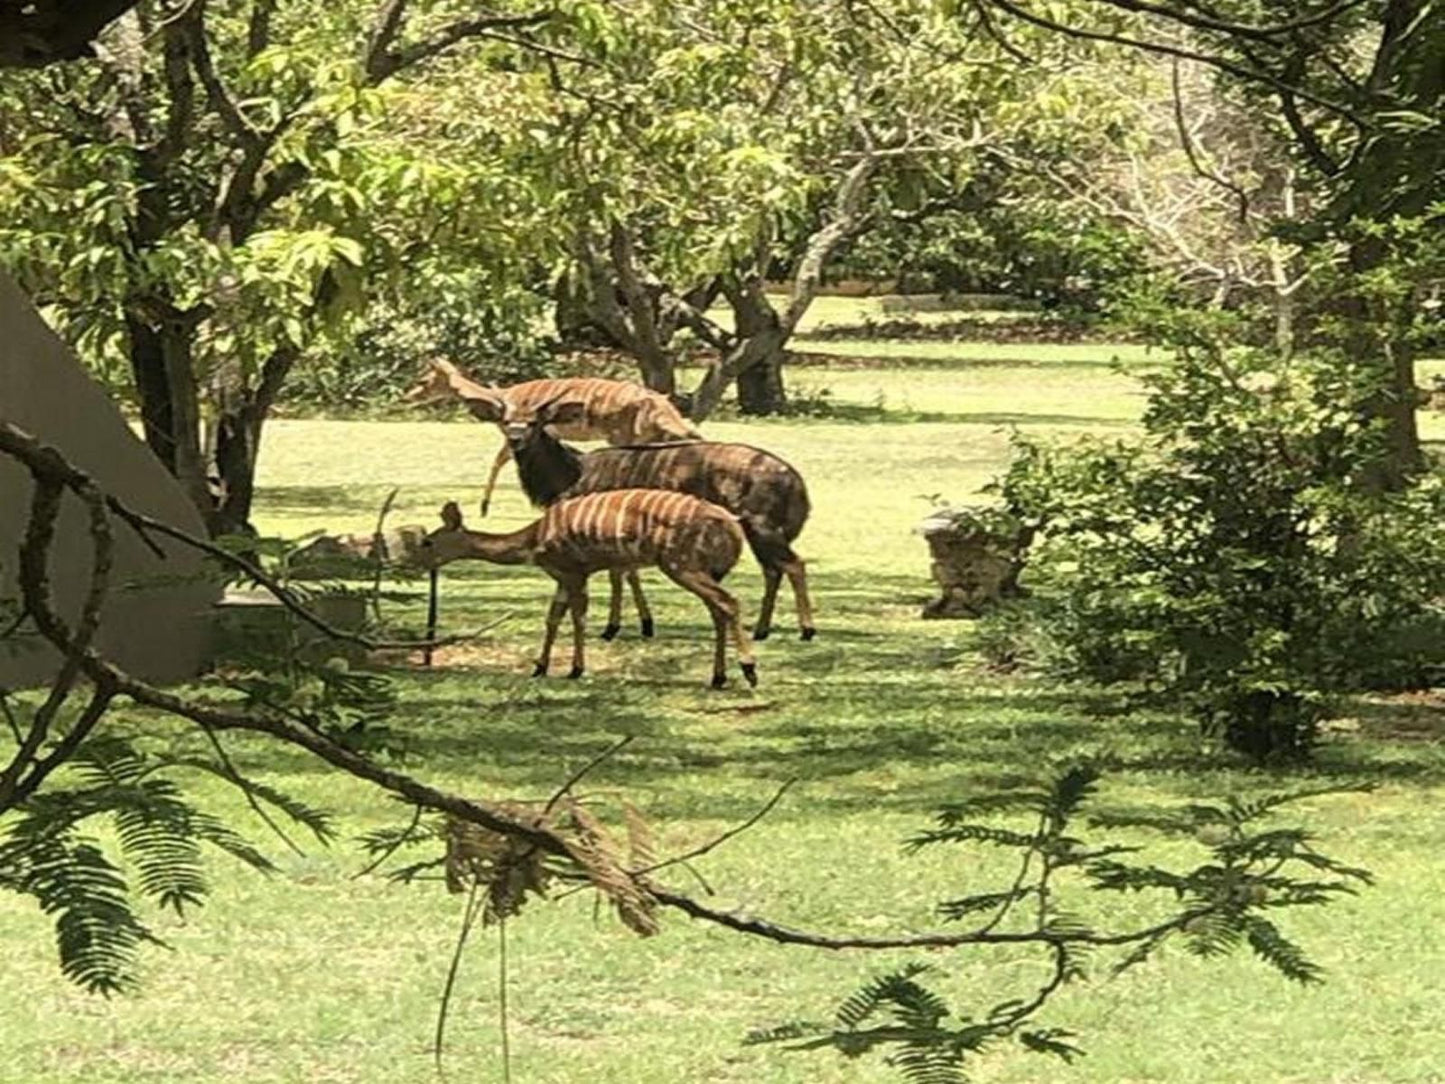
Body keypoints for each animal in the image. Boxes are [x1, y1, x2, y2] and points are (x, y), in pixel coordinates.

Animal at [407, 358, 699, 520]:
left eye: (423, 380)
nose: (407, 396)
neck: (501, 397)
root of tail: (662, 405)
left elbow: (497, 461)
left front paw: (483, 508)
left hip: (624, 433)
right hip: (649, 432)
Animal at [416, 491, 762, 687]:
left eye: (429, 541)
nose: (419, 563)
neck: (534, 541)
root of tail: (733, 528)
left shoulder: (574, 571)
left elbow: (577, 617)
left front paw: (575, 669)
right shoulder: (561, 576)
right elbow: (553, 618)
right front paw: (540, 667)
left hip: (681, 564)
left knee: (729, 603)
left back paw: (749, 670)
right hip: (704, 570)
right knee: (717, 610)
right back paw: (718, 677)